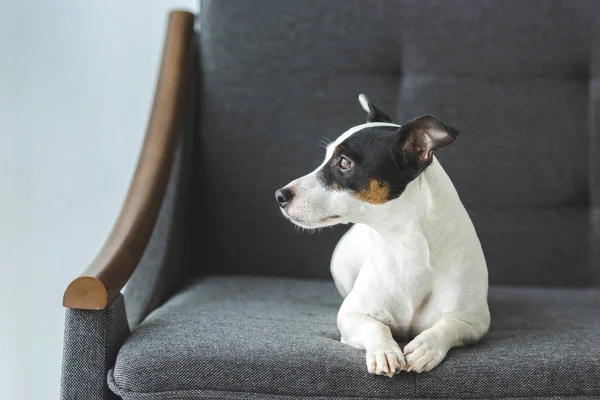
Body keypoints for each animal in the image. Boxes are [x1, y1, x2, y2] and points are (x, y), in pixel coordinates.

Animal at [274, 94, 490, 376]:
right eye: (326, 157)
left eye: (344, 163)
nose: (279, 195)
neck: (405, 246)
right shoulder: (350, 315)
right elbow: (375, 326)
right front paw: (385, 351)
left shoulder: (475, 323)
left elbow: (448, 325)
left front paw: (426, 346)